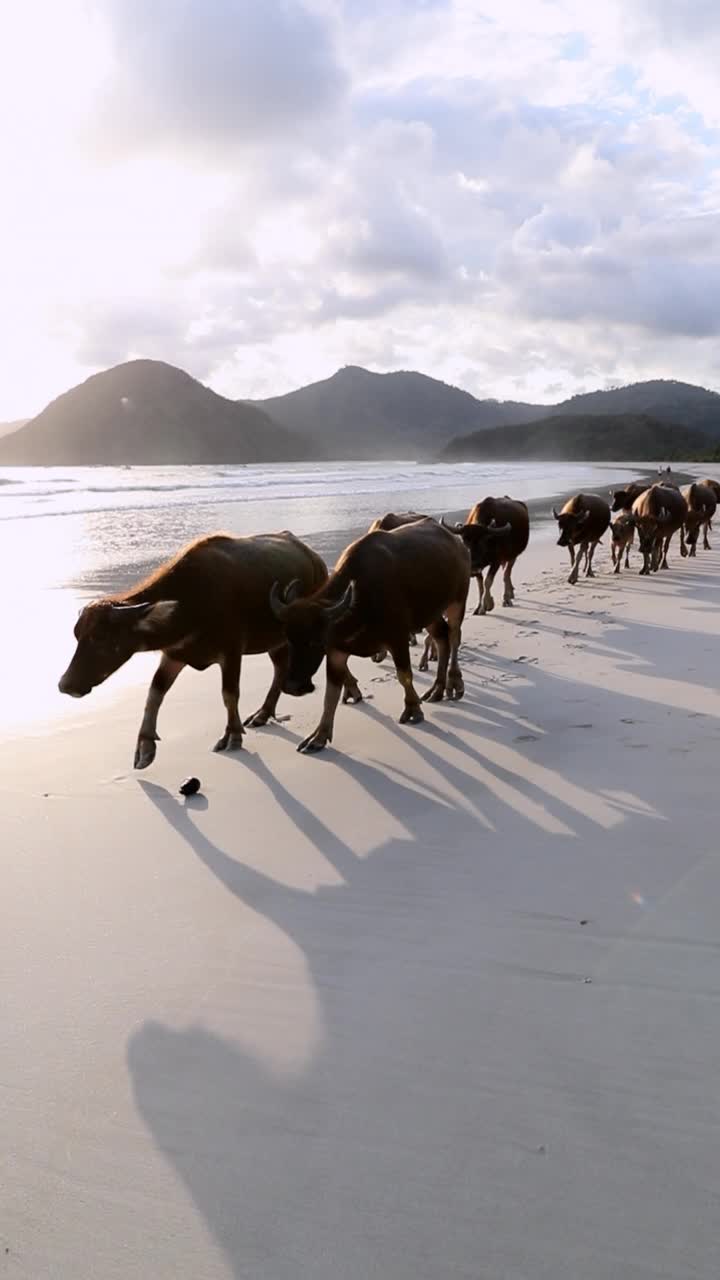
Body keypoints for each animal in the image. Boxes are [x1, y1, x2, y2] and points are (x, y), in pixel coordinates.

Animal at [58, 532, 358, 762]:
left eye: (101, 638)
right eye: (77, 635)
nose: (65, 685)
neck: (191, 602)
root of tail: (315, 559)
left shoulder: (232, 651)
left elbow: (229, 694)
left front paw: (232, 736)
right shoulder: (174, 655)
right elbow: (154, 693)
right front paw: (144, 746)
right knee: (282, 668)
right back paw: (267, 712)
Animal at [266, 517, 468, 747]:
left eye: (315, 642)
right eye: (289, 639)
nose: (292, 686)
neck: (360, 602)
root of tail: (458, 542)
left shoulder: (398, 638)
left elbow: (404, 676)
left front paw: (413, 709)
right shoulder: (336, 652)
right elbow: (330, 695)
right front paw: (319, 736)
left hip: (457, 601)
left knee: (454, 636)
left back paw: (454, 683)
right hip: (430, 613)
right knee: (442, 637)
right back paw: (437, 689)